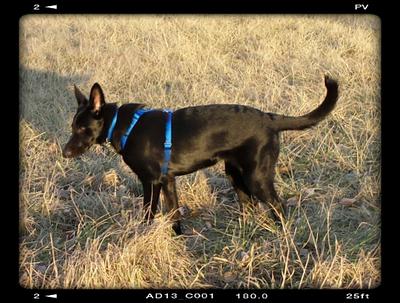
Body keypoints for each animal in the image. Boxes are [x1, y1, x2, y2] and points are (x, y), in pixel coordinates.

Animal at [62, 76, 338, 235]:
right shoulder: (167, 181)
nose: (64, 153)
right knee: (248, 205)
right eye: (73, 126)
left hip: (257, 177)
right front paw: (173, 237)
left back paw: (283, 238)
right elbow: (170, 213)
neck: (125, 125)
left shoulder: (152, 181)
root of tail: (270, 119)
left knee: (278, 206)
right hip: (235, 174)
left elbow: (151, 212)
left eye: (82, 129)